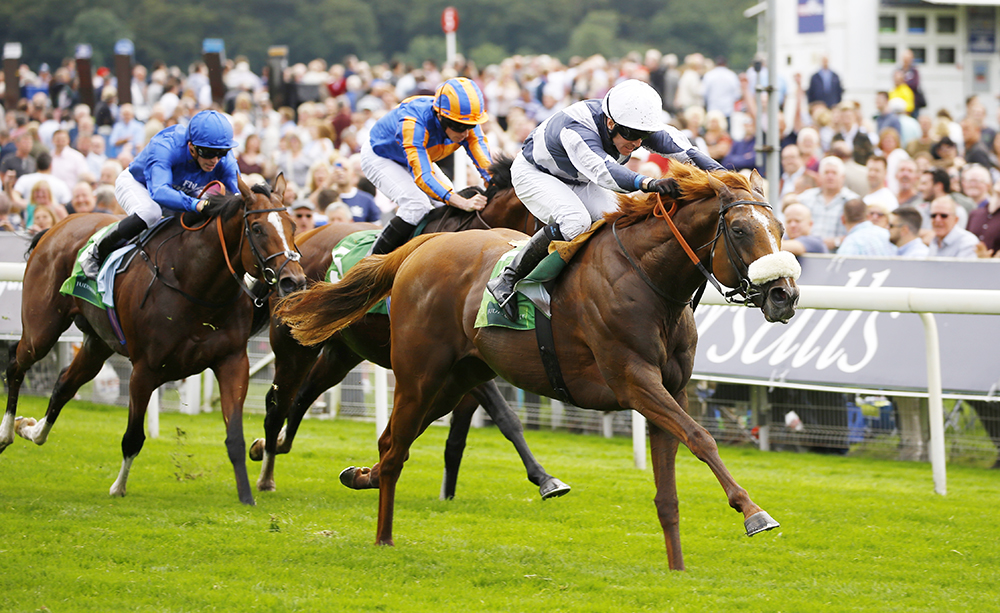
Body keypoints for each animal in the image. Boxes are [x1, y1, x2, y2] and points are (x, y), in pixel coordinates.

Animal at [0, 175, 304, 504]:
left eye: (293, 225)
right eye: (258, 228)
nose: (294, 281)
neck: (196, 285)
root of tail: (56, 227)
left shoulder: (232, 361)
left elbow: (235, 436)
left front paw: (247, 496)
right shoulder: (144, 371)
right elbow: (133, 437)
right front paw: (118, 487)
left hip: (97, 343)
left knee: (63, 385)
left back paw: (30, 429)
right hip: (41, 329)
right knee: (15, 364)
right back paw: (5, 433)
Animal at [250, 155, 572, 500]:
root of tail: (299, 242)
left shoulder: (475, 365)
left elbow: (461, 435)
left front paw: (447, 493)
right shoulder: (457, 359)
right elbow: (506, 416)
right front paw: (546, 479)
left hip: (343, 351)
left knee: (303, 394)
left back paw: (273, 445)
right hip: (293, 345)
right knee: (277, 402)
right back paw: (265, 469)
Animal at [278, 164, 800, 568]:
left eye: (780, 230)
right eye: (739, 230)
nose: (785, 295)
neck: (647, 279)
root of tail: (421, 249)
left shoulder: (672, 388)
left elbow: (669, 487)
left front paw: (677, 566)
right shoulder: (634, 381)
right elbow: (701, 436)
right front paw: (754, 512)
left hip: (454, 379)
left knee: (391, 441)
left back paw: (357, 476)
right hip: (416, 373)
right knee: (377, 441)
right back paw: (380, 534)